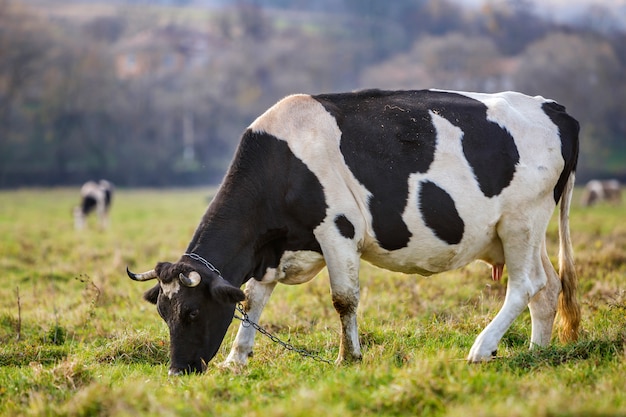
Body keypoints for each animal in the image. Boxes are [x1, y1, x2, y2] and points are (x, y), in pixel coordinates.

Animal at [127, 89, 580, 376]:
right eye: (163, 312)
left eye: (191, 312)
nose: (177, 372)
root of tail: (554, 108)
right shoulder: (274, 248)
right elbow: (253, 300)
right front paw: (236, 360)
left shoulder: (337, 229)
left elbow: (343, 299)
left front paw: (349, 357)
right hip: (520, 232)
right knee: (548, 287)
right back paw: (536, 353)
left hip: (522, 219)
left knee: (526, 284)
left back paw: (482, 349)